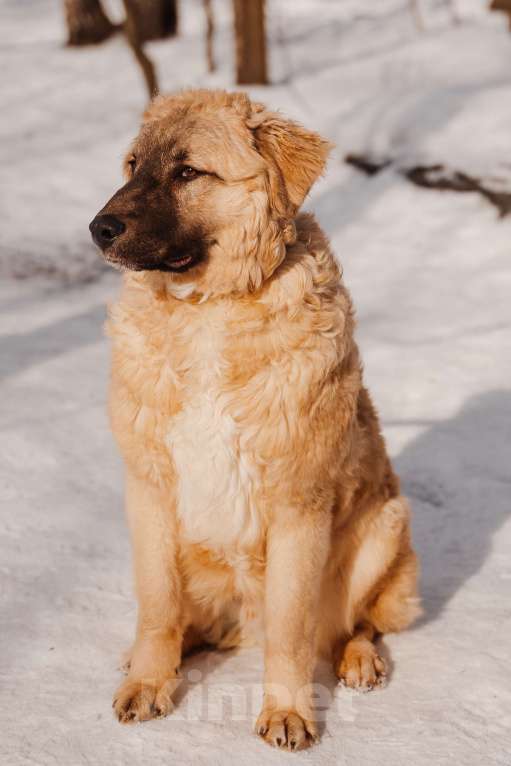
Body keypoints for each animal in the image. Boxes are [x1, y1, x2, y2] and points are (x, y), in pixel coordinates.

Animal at [91, 88, 420, 752]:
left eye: (188, 172)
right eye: (133, 165)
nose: (98, 229)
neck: (207, 310)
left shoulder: (298, 504)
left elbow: (292, 630)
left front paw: (288, 712)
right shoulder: (149, 488)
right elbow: (157, 606)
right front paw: (147, 682)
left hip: (383, 525)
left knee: (354, 623)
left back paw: (359, 660)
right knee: (182, 618)